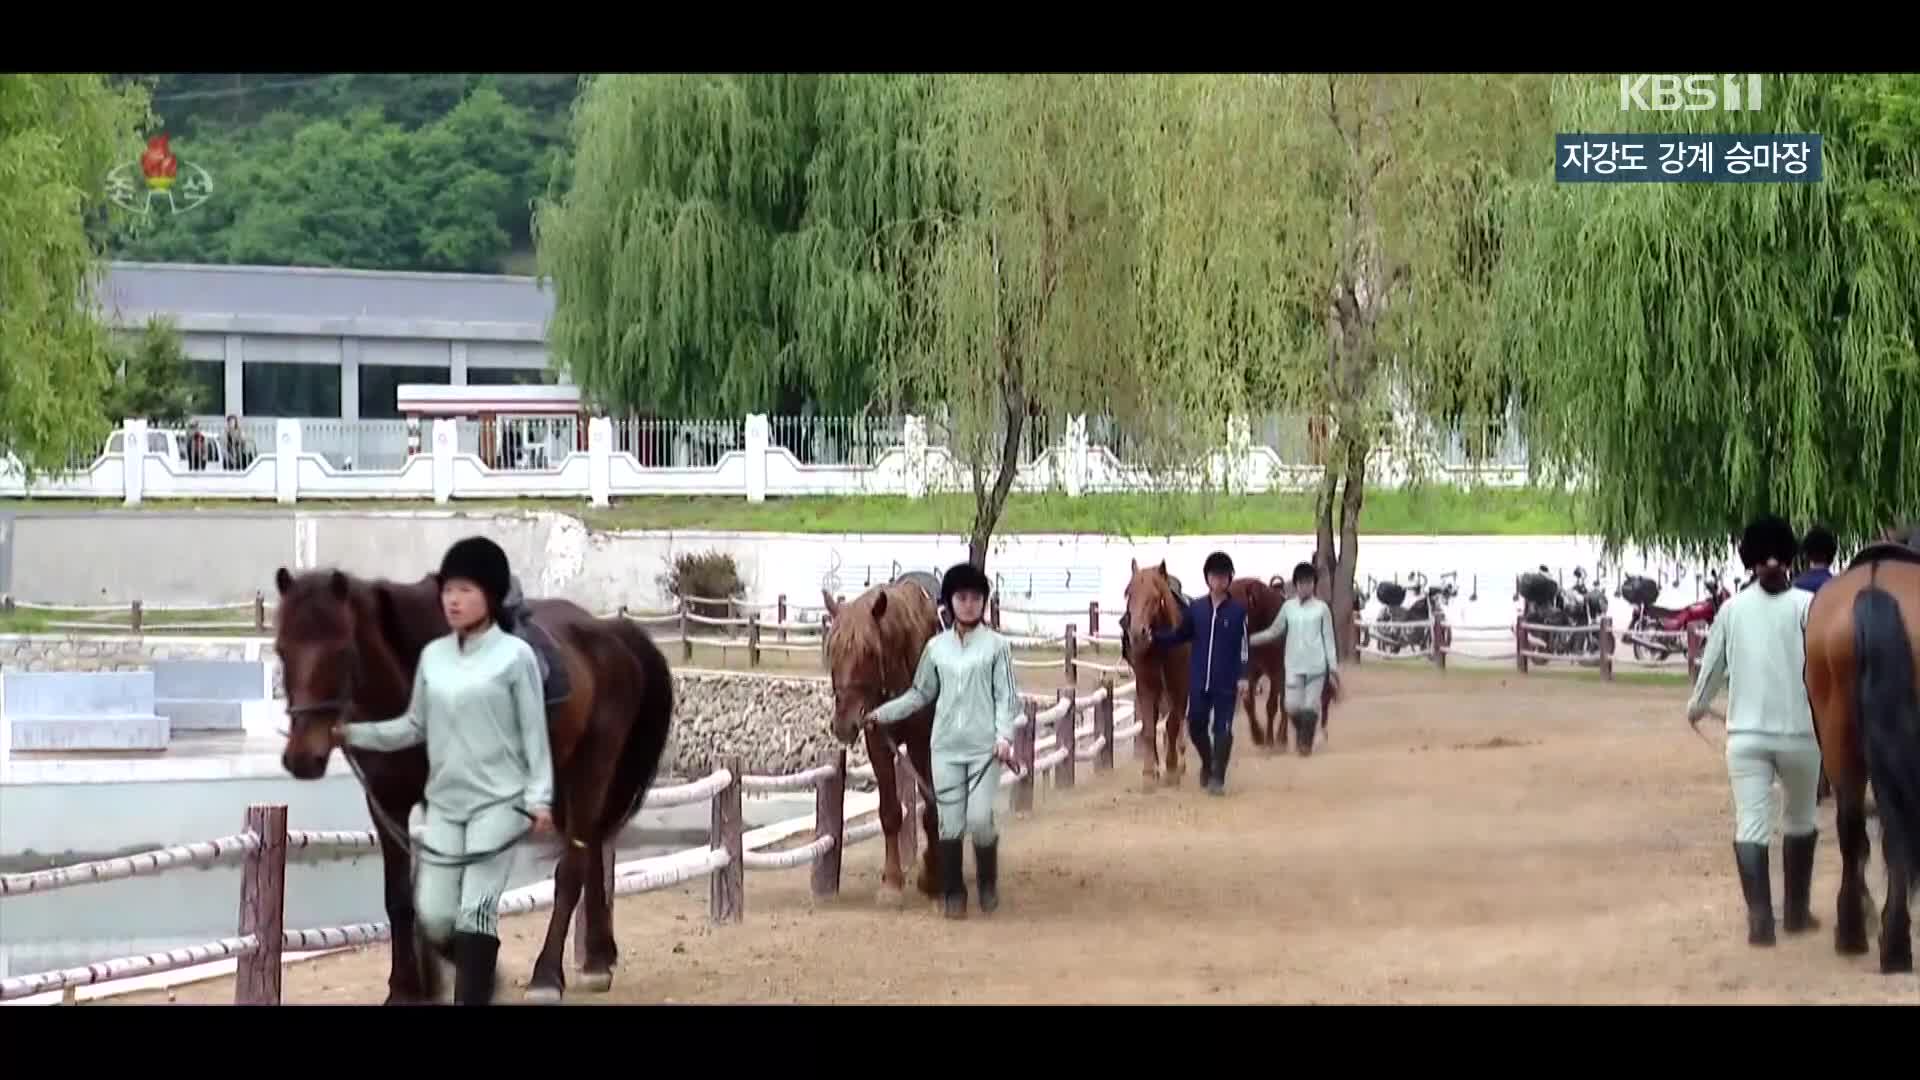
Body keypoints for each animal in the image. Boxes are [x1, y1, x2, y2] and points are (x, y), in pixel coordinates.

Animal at [270, 568, 675, 999]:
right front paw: (409, 986)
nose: (302, 757)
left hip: (591, 770)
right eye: (281, 651)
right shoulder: (387, 802)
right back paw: (598, 958)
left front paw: (474, 972)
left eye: (343, 651)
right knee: (593, 848)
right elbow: (402, 898)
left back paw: (547, 975)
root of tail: (610, 631)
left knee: (572, 871)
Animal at [821, 576, 940, 895]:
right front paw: (892, 880)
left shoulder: (921, 741)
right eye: (831, 651)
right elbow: (890, 812)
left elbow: (930, 804)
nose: (844, 723)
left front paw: (931, 873)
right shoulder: (877, 741)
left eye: (870, 652)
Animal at [1121, 557, 1190, 787]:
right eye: (1129, 593)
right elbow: (1149, 728)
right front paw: (1150, 772)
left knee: (1178, 720)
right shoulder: (1146, 685)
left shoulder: (1179, 686)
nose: (1137, 634)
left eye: (1154, 596)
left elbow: (1172, 724)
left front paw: (1172, 768)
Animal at [1228, 576, 1290, 745]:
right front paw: (1258, 736)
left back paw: (1282, 737)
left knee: (1285, 704)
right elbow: (1249, 703)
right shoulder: (1249, 673)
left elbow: (1271, 706)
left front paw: (1269, 739)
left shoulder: (1277, 671)